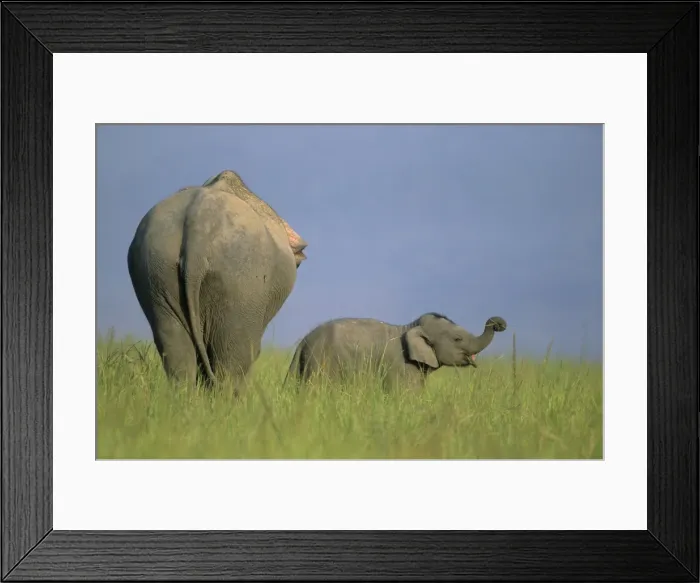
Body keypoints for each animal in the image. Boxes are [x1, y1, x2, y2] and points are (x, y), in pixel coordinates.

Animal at [284, 312, 507, 390]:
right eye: (457, 339)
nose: (498, 324)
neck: (411, 326)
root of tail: (303, 342)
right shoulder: (402, 367)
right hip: (321, 364)